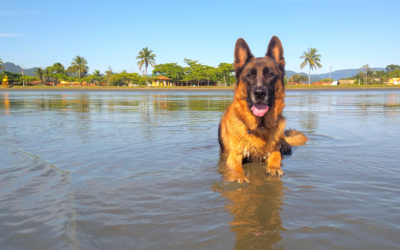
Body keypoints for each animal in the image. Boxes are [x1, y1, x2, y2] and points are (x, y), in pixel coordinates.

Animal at [219, 36, 306, 183]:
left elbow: (276, 156)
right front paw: (239, 176)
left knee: (283, 140)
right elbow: (235, 167)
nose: (259, 93)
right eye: (249, 75)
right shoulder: (234, 155)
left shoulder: (273, 151)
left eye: (270, 74)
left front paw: (274, 167)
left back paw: (286, 147)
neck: (260, 126)